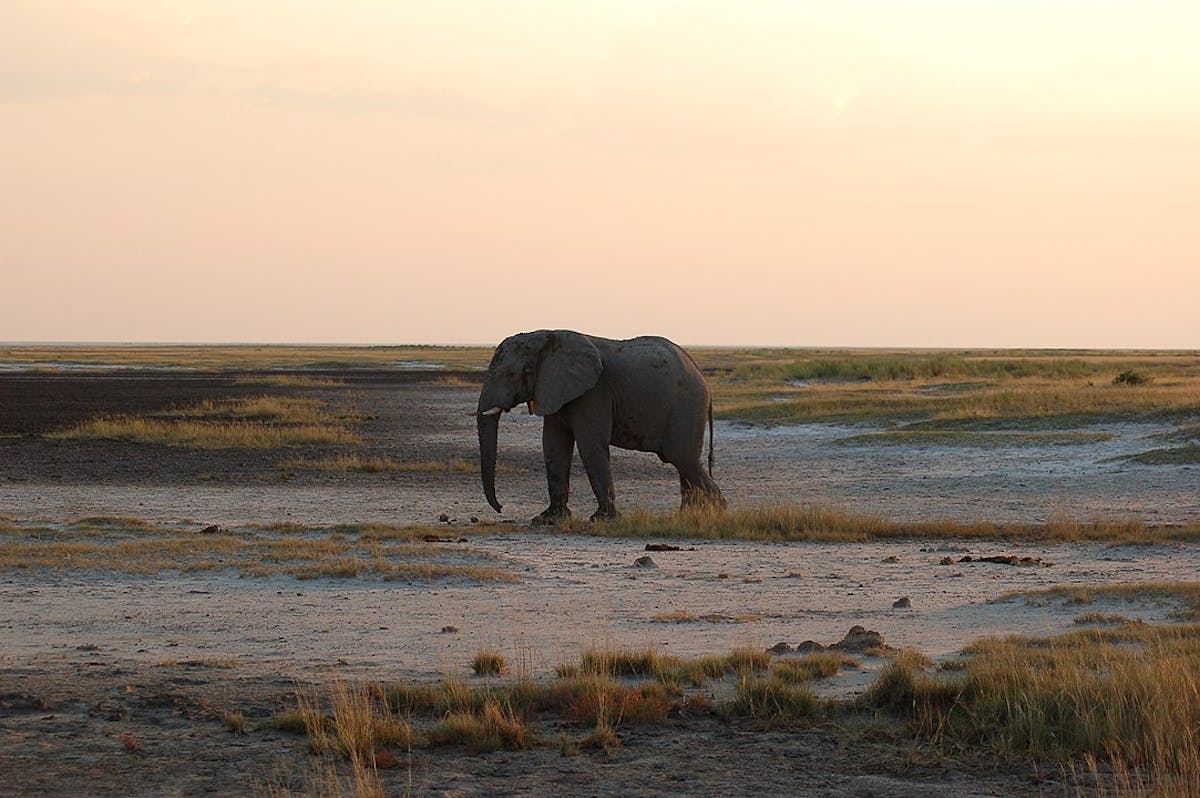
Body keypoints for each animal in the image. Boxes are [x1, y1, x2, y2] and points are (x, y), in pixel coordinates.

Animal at [475, 326, 720, 520]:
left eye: (510, 374)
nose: (501, 508)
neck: (547, 337)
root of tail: (704, 381)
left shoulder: (594, 392)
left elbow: (590, 445)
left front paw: (602, 519)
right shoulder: (555, 389)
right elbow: (553, 444)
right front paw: (548, 519)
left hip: (687, 407)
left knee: (682, 458)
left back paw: (719, 514)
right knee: (683, 463)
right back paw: (688, 517)